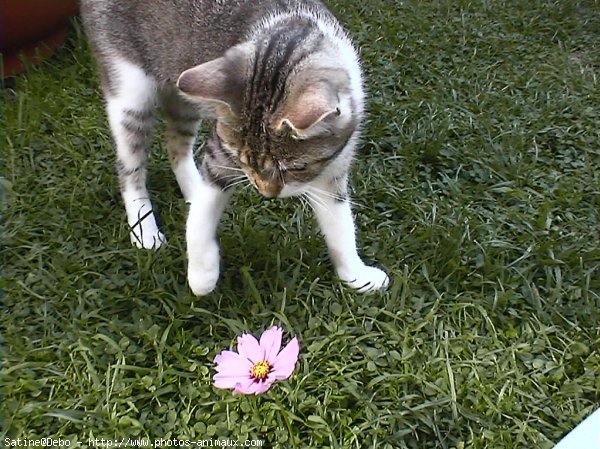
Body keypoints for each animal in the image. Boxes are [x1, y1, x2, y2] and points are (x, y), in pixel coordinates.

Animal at [81, 0, 390, 296]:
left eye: (296, 167)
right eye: (244, 162)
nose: (267, 194)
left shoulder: (331, 172)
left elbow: (340, 226)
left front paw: (356, 275)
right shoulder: (220, 155)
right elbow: (200, 221)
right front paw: (201, 277)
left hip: (184, 95)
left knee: (177, 148)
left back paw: (192, 189)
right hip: (130, 95)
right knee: (129, 170)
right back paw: (144, 229)